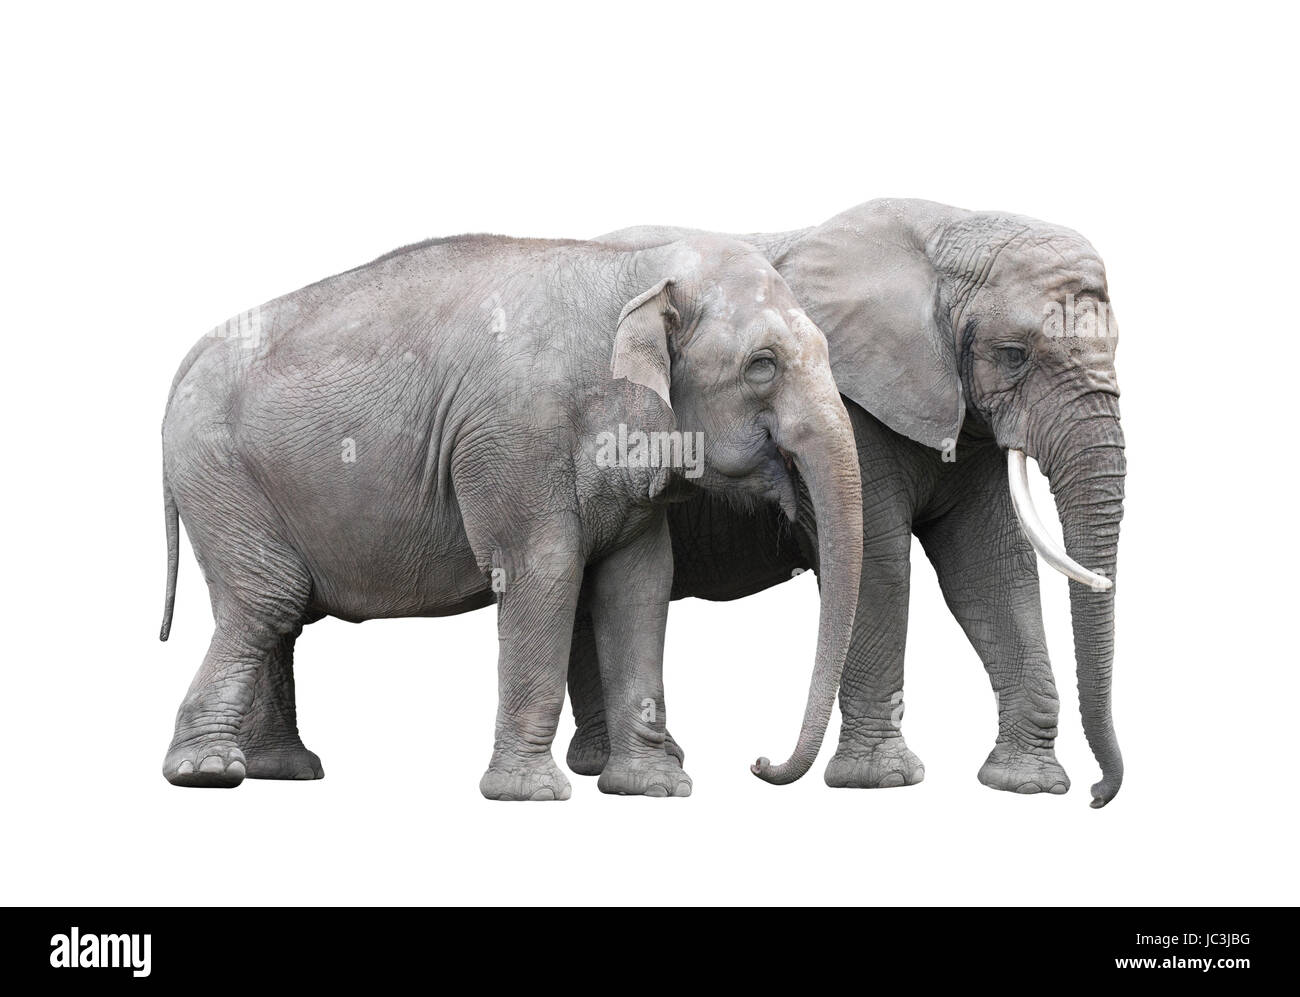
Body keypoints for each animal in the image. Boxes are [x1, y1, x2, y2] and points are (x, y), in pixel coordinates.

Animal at [158, 232, 864, 800]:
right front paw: (532, 795)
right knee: (268, 602)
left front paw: (655, 790)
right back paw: (208, 773)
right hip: (218, 476)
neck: (634, 270)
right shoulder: (516, 440)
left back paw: (284, 771)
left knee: (279, 612)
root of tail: (184, 363)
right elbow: (545, 572)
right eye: (762, 365)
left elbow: (639, 585)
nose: (760, 762)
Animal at [566, 198, 1126, 807]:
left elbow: (988, 566)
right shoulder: (851, 406)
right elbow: (878, 566)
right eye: (1012, 355)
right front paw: (880, 780)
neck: (947, 235)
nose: (1098, 794)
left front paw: (1028, 785)